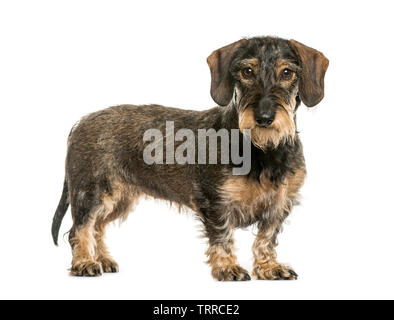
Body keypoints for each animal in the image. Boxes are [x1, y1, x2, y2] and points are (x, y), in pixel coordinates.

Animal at [52, 37, 330, 280]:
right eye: (247, 71)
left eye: (287, 73)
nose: (264, 118)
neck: (263, 149)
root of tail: (80, 123)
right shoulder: (216, 202)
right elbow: (223, 237)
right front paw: (227, 267)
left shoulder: (279, 204)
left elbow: (266, 239)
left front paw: (269, 267)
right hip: (91, 193)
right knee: (80, 229)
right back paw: (84, 262)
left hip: (119, 199)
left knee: (97, 226)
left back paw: (102, 259)